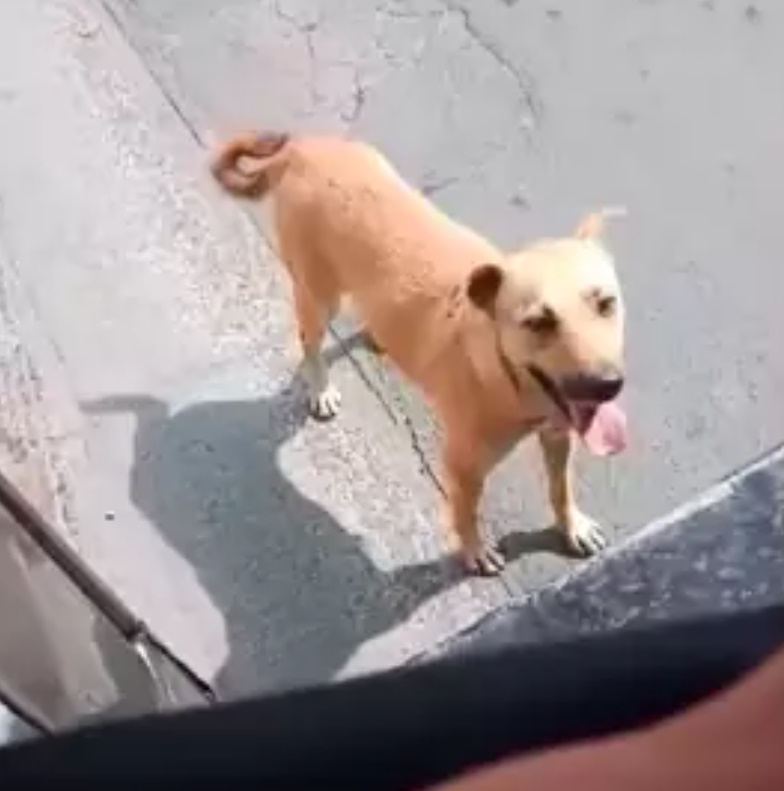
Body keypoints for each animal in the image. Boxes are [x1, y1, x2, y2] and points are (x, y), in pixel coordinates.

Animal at [211, 131, 628, 576]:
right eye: (538, 322)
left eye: (606, 303)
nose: (607, 385)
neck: (505, 376)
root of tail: (302, 145)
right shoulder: (464, 467)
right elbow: (466, 514)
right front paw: (474, 550)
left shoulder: (557, 435)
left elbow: (560, 487)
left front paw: (572, 525)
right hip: (317, 294)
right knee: (311, 344)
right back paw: (320, 387)